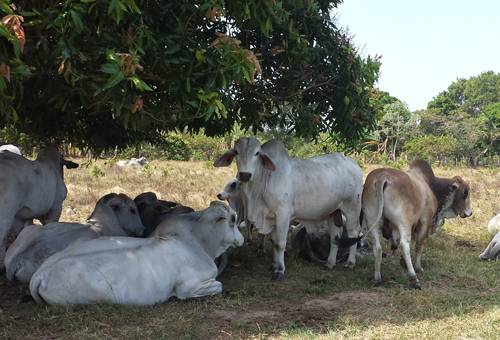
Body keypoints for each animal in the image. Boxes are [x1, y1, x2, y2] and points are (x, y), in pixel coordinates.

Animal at [29, 202, 244, 306]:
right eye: (233, 219)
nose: (242, 239)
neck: (198, 242)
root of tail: (41, 274)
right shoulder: (189, 288)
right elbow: (219, 285)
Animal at [215, 137, 364, 280]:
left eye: (257, 153)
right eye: (236, 152)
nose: (245, 175)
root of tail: (353, 164)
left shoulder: (283, 215)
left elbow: (280, 243)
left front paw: (280, 270)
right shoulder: (271, 218)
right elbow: (274, 242)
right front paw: (274, 265)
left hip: (352, 208)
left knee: (354, 233)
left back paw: (350, 263)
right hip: (333, 212)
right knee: (335, 237)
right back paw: (330, 263)